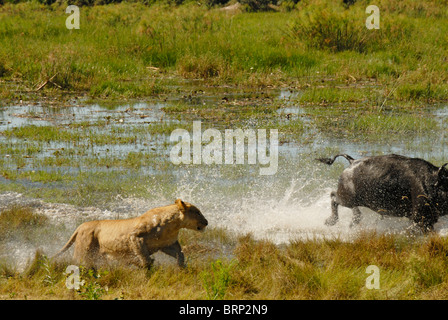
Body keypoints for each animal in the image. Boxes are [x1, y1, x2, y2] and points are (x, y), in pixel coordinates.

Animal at [316, 153, 448, 232]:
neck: (431, 182)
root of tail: (352, 161)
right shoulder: (421, 219)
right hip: (346, 198)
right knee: (333, 196)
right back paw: (331, 220)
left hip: (352, 199)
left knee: (351, 207)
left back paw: (353, 220)